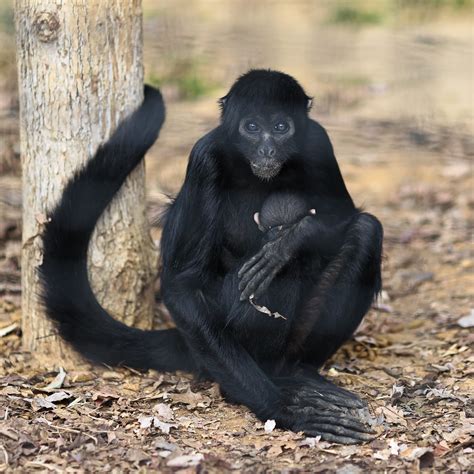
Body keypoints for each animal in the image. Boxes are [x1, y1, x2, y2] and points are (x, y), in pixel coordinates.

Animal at [39, 70, 384, 444]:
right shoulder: (205, 158)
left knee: (366, 230)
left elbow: (344, 213)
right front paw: (284, 411)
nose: (267, 148)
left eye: (281, 127)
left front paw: (288, 241)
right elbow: (183, 286)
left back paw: (299, 371)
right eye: (251, 127)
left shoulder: (318, 142)